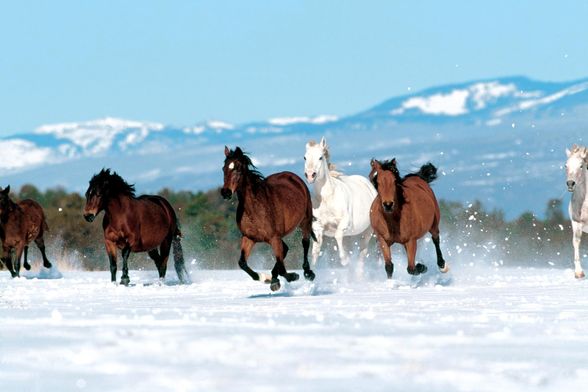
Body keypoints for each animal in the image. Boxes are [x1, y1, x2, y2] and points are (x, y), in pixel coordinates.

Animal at [220, 145, 314, 290]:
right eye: (223, 168)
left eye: (238, 168)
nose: (226, 193)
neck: (255, 209)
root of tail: (293, 177)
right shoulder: (249, 238)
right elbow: (242, 263)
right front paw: (265, 278)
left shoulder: (274, 238)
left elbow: (283, 268)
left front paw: (293, 276)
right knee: (285, 250)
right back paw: (274, 279)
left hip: (305, 221)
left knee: (305, 243)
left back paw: (308, 273)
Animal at [304, 136, 376, 268]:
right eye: (305, 157)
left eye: (320, 157)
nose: (310, 175)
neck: (327, 199)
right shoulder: (318, 228)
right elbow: (315, 252)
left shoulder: (345, 223)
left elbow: (337, 236)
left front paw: (344, 260)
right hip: (351, 236)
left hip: (367, 232)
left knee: (362, 253)